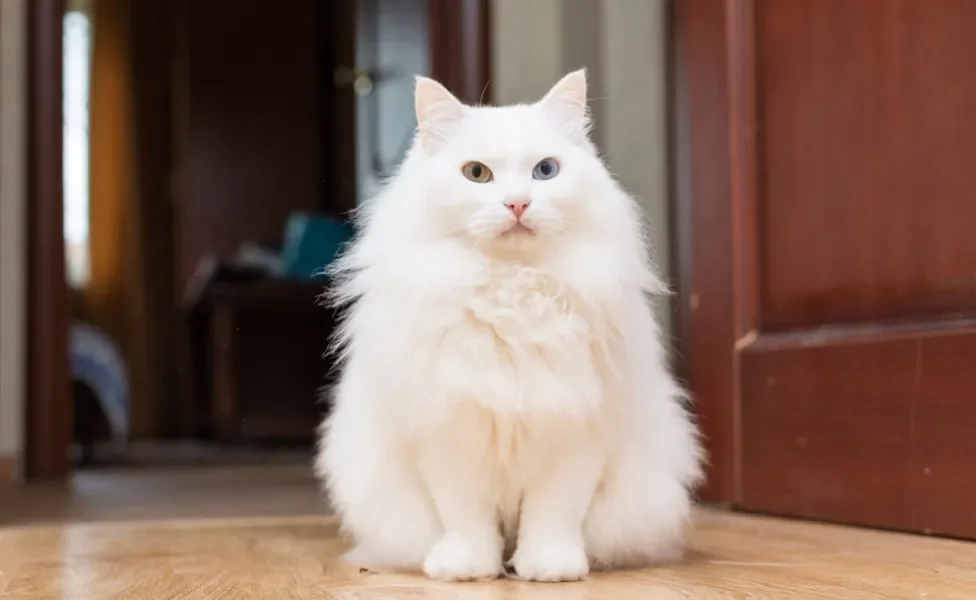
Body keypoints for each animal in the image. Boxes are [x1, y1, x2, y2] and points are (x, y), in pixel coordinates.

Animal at [316, 69, 704, 580]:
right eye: (476, 173)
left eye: (546, 171)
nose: (518, 204)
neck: (512, 291)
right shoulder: (449, 433)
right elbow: (465, 517)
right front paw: (467, 569)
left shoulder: (575, 434)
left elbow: (554, 514)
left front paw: (550, 569)